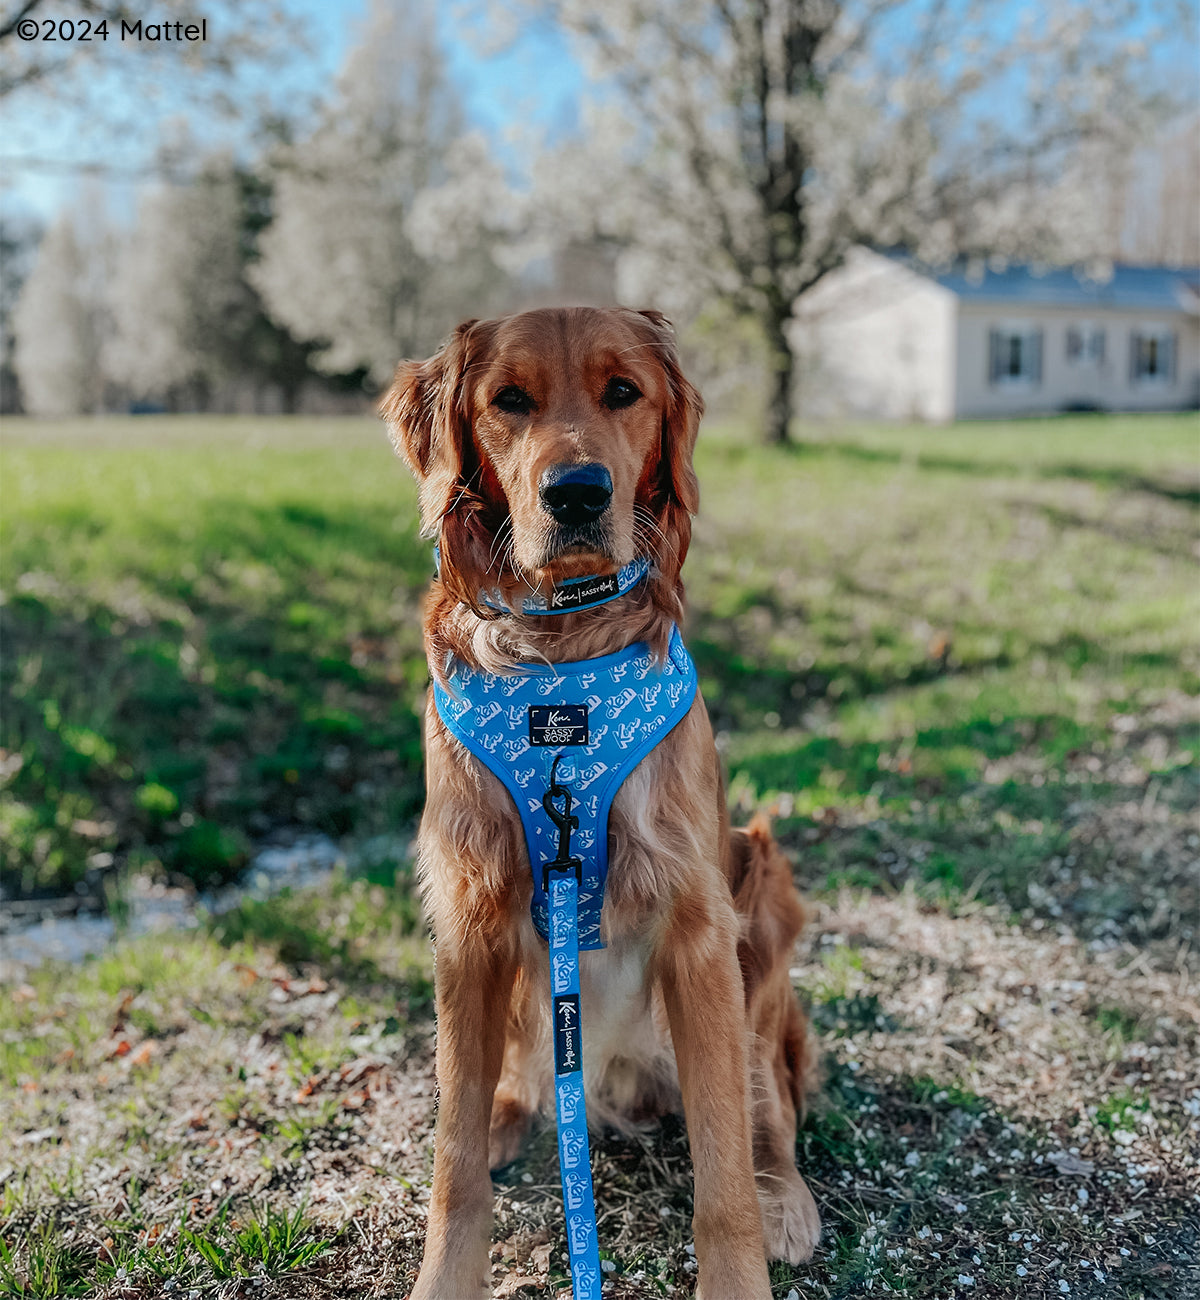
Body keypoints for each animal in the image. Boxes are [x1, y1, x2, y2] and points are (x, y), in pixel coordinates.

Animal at [384, 306, 826, 1300]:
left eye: (625, 392)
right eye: (509, 399)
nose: (578, 495)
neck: (563, 663)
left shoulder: (699, 924)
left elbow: (723, 1168)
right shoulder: (469, 916)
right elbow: (452, 1159)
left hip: (761, 880)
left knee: (767, 1102)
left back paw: (786, 1193)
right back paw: (513, 1111)